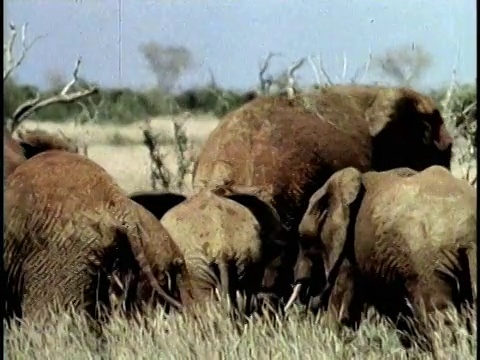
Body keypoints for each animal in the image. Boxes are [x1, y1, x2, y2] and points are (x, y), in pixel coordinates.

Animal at [288, 166, 476, 354]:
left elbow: (343, 303)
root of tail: (468, 232)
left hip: (428, 264)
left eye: (302, 240)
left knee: (437, 316)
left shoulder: (348, 251)